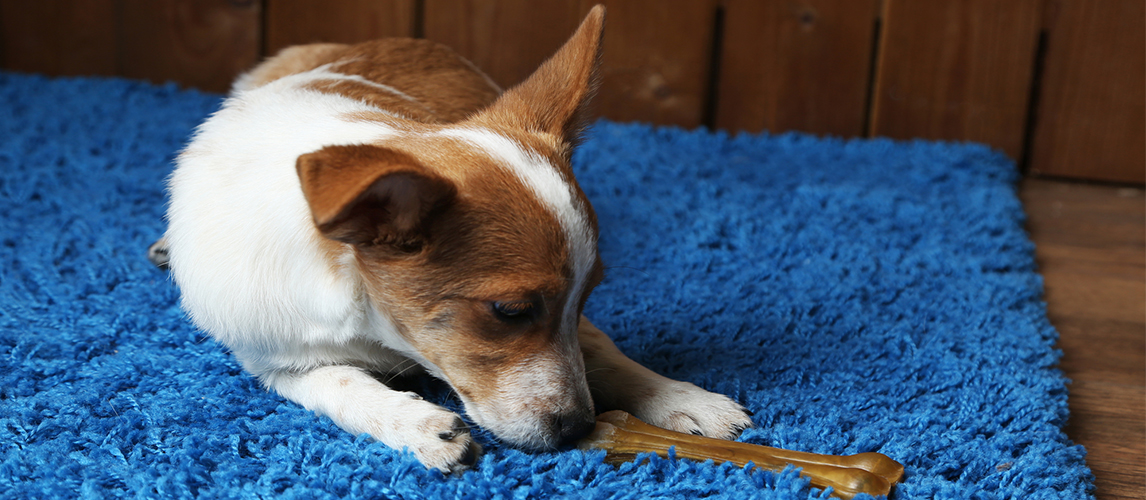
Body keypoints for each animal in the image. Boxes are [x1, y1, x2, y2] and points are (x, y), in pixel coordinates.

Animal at [150, 5, 751, 470]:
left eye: (588, 297)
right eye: (509, 312)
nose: (581, 428)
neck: (369, 317)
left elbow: (601, 349)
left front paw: (681, 398)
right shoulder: (276, 362)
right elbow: (340, 385)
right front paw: (415, 424)